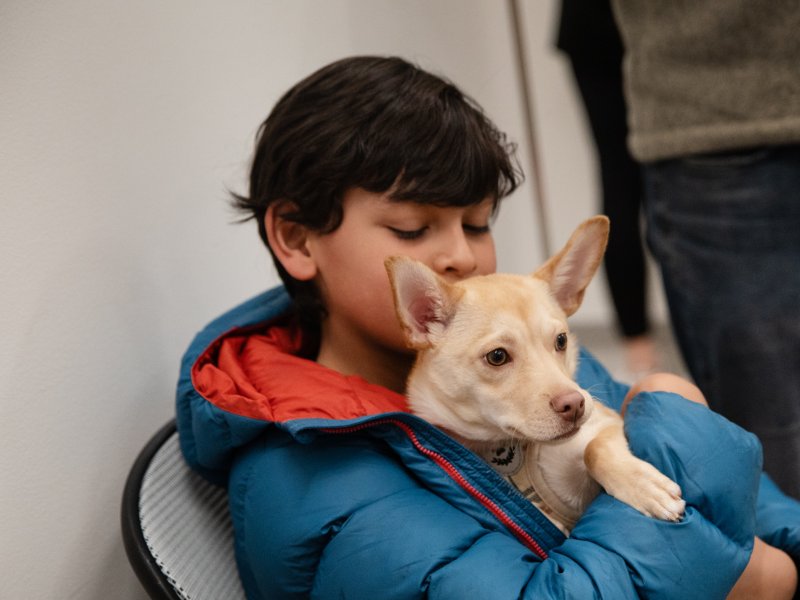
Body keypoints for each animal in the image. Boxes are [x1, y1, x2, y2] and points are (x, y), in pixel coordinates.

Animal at [384, 217, 684, 536]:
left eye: (562, 341)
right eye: (497, 356)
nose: (575, 405)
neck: (509, 446)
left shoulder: (607, 422)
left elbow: (594, 449)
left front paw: (644, 486)